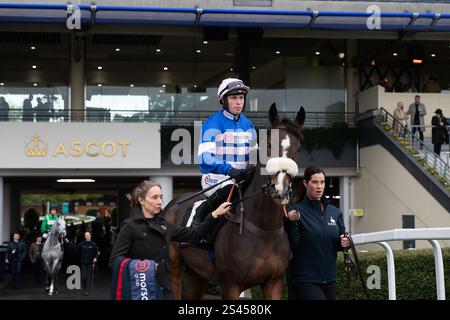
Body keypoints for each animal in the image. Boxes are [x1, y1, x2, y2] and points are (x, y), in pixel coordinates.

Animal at [163, 104, 304, 298]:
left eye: (298, 148)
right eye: (269, 144)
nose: (279, 190)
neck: (264, 228)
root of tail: (171, 204)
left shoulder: (274, 283)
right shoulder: (231, 284)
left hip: (197, 274)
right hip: (174, 267)